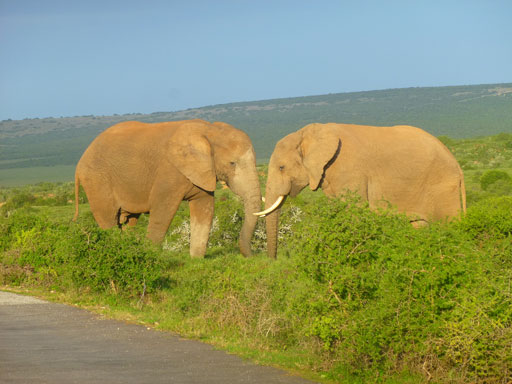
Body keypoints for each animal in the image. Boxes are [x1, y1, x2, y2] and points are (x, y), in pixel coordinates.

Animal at [74, 120, 262, 258]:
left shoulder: (203, 171)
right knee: (109, 220)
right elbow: (163, 211)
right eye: (232, 163)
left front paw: (196, 260)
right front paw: (151, 256)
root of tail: (80, 162)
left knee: (129, 222)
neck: (209, 130)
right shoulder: (169, 170)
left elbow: (205, 209)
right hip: (97, 180)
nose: (252, 257)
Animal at [254, 123, 466, 258]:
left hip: (442, 187)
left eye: (281, 167)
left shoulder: (350, 171)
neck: (307, 133)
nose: (272, 261)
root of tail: (458, 166)